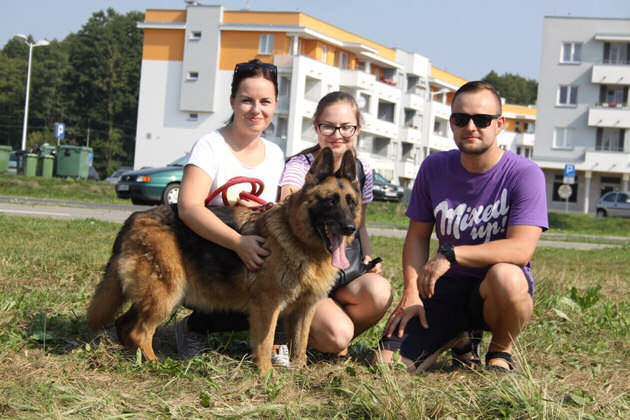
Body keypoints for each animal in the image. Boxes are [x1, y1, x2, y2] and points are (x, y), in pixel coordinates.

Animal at [89, 149, 366, 372]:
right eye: (331, 201)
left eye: (351, 203)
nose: (350, 228)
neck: (297, 238)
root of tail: (134, 218)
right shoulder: (267, 307)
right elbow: (265, 343)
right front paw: (265, 375)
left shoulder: (304, 310)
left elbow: (300, 346)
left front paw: (299, 374)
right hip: (166, 294)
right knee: (139, 331)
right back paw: (155, 363)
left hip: (154, 296)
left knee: (124, 323)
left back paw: (132, 357)